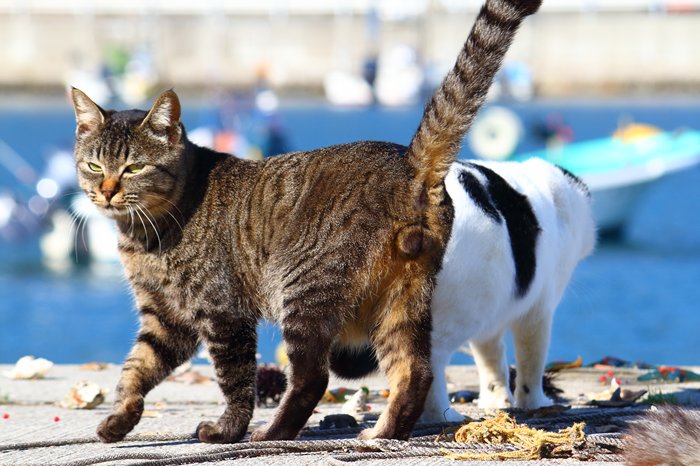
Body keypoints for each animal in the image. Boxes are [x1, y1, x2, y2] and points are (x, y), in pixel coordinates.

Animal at [71, 0, 540, 444]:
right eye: (93, 165)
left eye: (134, 168)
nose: (106, 190)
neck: (145, 233)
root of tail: (407, 161)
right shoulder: (165, 317)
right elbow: (135, 368)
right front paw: (119, 420)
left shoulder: (222, 313)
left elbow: (234, 382)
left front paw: (227, 431)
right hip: (402, 300)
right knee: (414, 370)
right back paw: (383, 433)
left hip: (303, 289)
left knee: (313, 377)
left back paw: (274, 432)